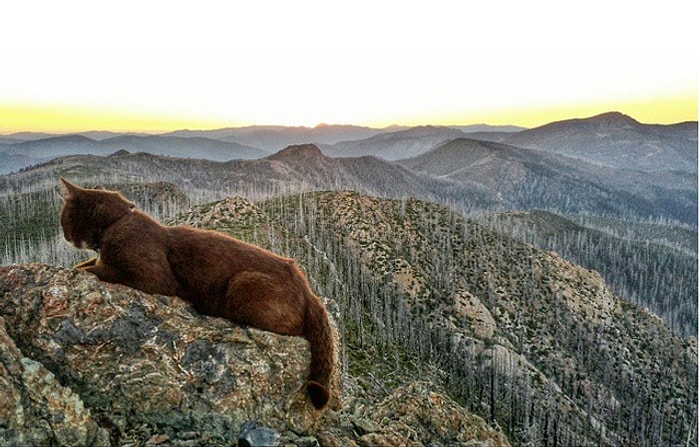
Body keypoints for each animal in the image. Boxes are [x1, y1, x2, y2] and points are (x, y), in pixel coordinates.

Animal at [58, 178, 334, 410]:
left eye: (64, 218)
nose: (64, 236)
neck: (116, 222)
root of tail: (309, 290)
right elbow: (88, 264)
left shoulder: (152, 277)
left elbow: (95, 269)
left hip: (241, 284)